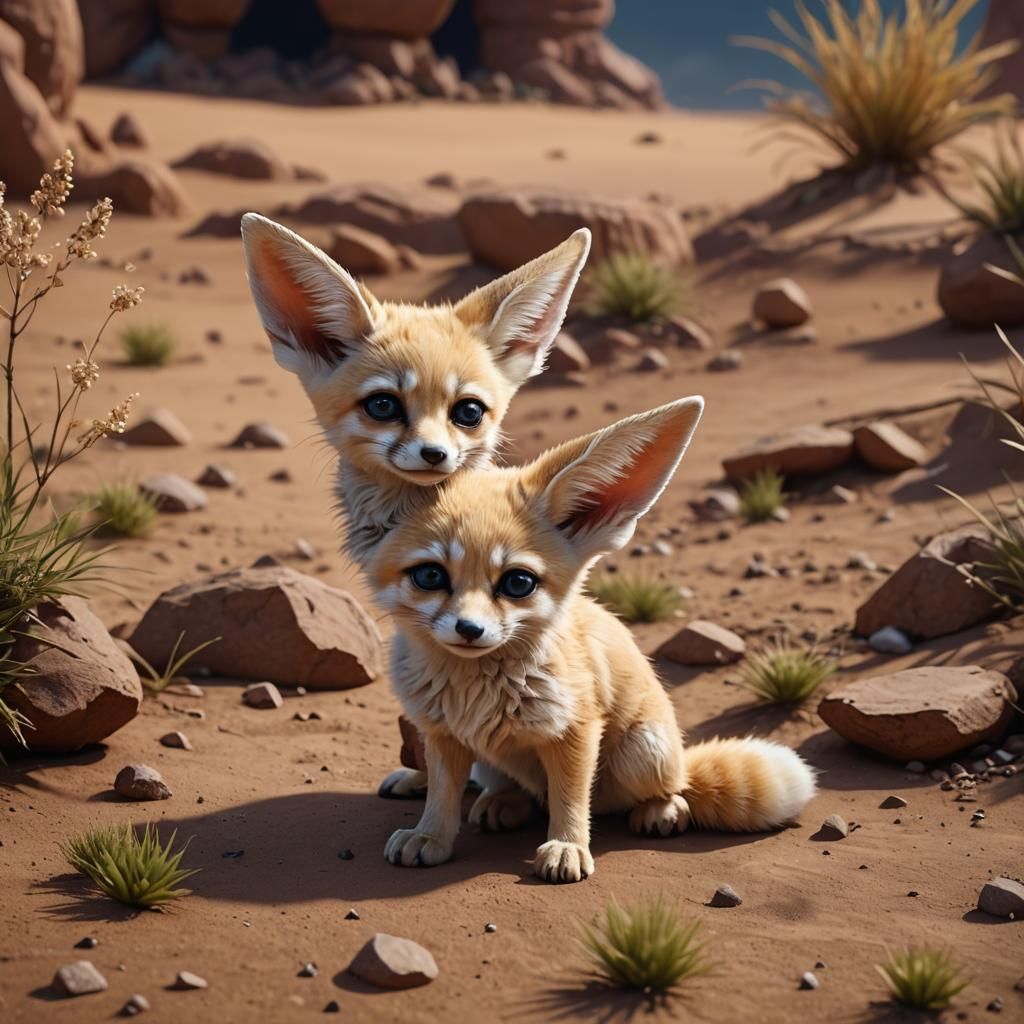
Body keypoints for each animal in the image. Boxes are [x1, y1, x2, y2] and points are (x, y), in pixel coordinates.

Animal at [370, 397, 818, 883]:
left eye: (518, 583)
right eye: (430, 576)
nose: (469, 630)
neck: (474, 691)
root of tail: (680, 755)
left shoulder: (576, 728)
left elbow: (569, 798)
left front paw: (567, 847)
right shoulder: (441, 731)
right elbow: (442, 793)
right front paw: (428, 836)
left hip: (642, 753)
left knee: (667, 788)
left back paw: (662, 810)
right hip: (496, 759)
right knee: (501, 786)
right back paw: (496, 801)